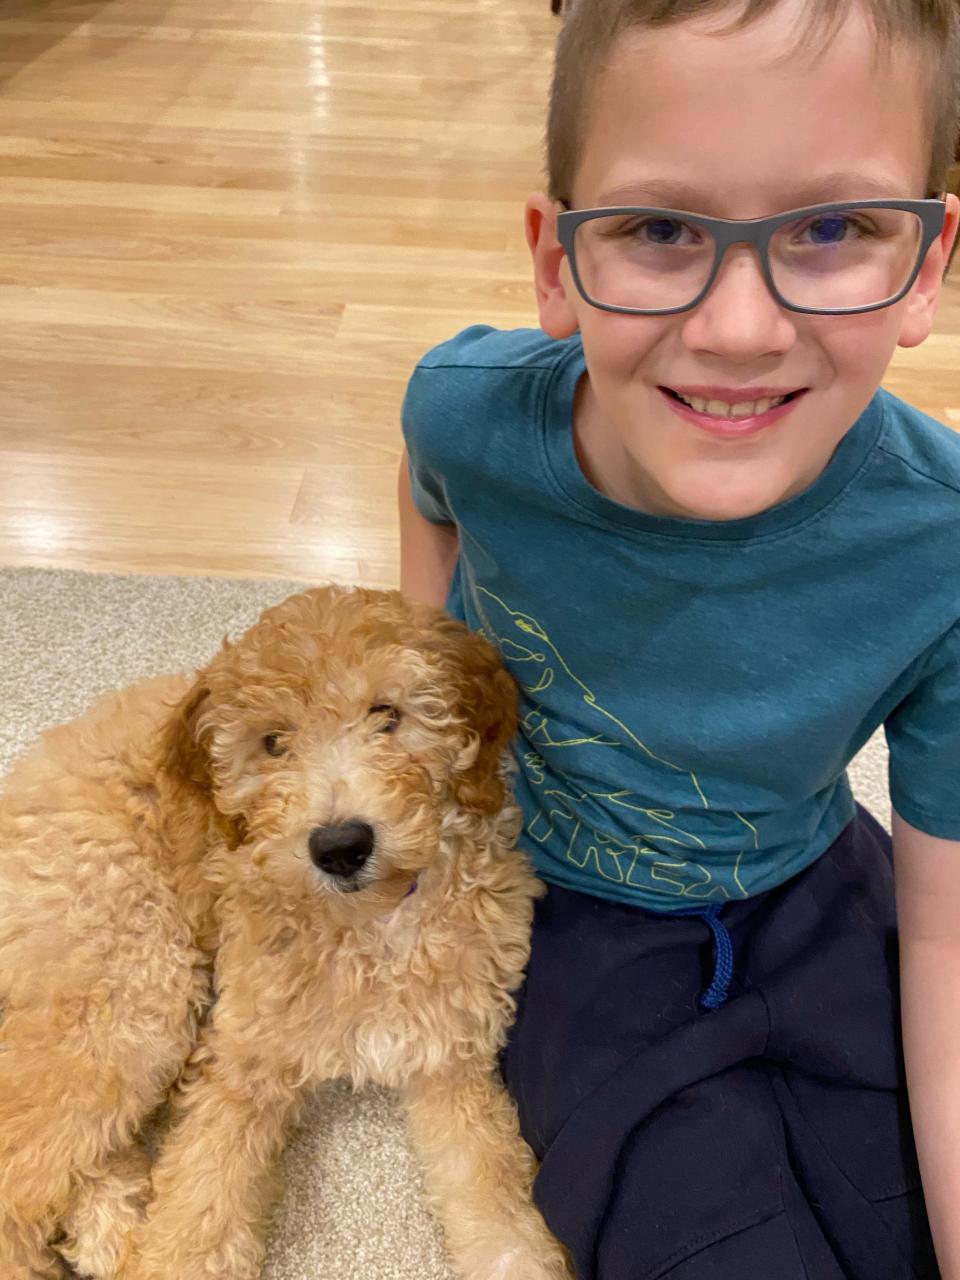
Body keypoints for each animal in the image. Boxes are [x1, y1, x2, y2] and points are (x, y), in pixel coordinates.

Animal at [0, 586, 570, 1280]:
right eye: (273, 743)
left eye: (387, 713)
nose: (341, 846)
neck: (371, 925)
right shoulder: (243, 1064)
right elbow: (198, 1215)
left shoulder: (452, 1060)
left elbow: (497, 1206)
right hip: (130, 991)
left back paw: (111, 1229)